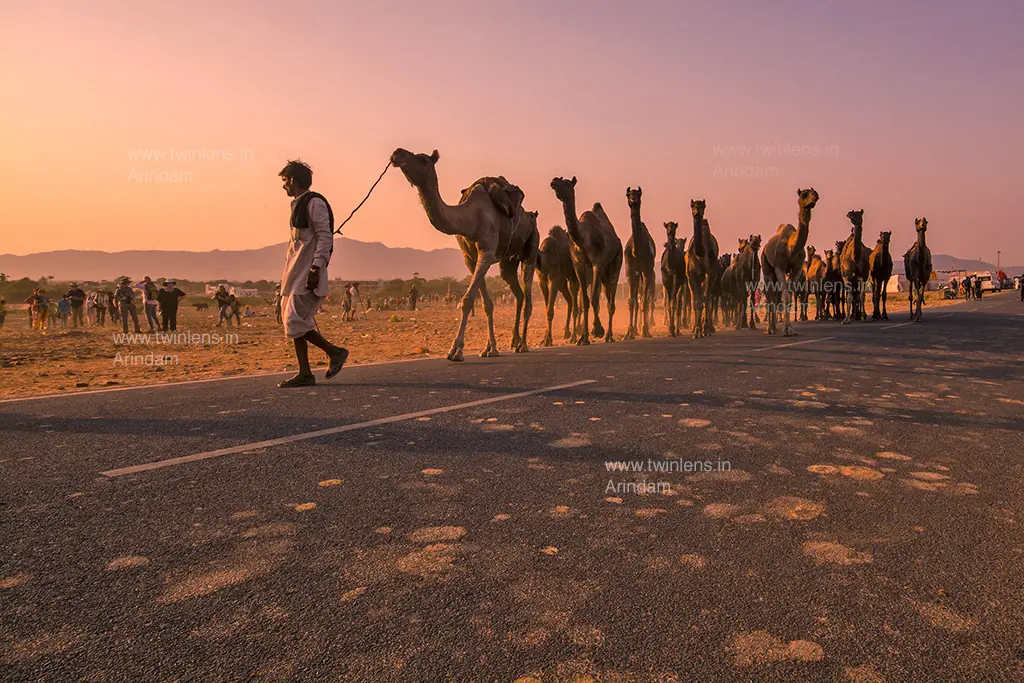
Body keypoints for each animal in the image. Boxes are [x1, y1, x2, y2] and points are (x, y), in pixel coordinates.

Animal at [391, 149, 538, 361]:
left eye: (423, 160)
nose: (397, 153)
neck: (471, 217)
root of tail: (532, 215)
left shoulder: (486, 251)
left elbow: (467, 300)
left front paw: (456, 350)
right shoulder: (470, 258)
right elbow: (487, 304)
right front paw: (489, 348)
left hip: (532, 246)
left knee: (527, 295)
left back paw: (523, 344)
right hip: (508, 262)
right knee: (517, 292)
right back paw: (514, 341)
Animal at [550, 176, 623, 344]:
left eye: (567, 183)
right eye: (558, 180)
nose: (553, 182)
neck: (583, 240)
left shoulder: (598, 264)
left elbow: (594, 298)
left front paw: (597, 330)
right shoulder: (579, 265)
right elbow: (585, 300)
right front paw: (583, 338)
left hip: (616, 261)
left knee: (611, 299)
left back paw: (609, 336)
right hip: (604, 273)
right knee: (607, 296)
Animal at [761, 188, 819, 336]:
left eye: (813, 191)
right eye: (804, 194)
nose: (815, 195)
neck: (791, 247)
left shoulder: (797, 268)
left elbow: (790, 297)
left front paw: (790, 328)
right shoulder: (779, 267)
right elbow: (785, 296)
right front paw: (786, 330)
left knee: (774, 295)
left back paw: (774, 327)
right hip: (765, 264)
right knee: (770, 295)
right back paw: (769, 329)